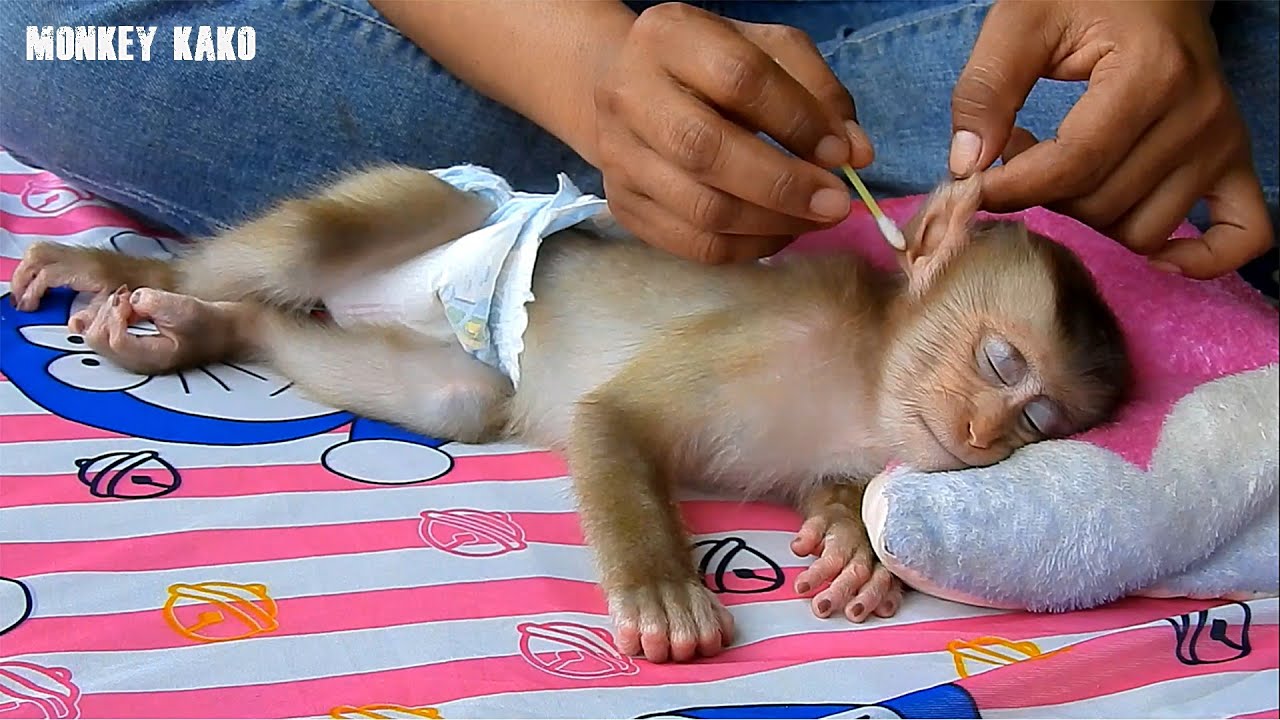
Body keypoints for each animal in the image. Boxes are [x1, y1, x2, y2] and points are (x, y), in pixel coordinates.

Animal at [9, 166, 1131, 664]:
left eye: (1039, 419)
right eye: (999, 360)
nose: (981, 438)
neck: (862, 376)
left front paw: (850, 536)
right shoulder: (771, 333)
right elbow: (612, 419)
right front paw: (663, 591)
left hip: (443, 359)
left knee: (450, 393)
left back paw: (207, 327)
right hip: (438, 201)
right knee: (314, 244)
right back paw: (128, 274)